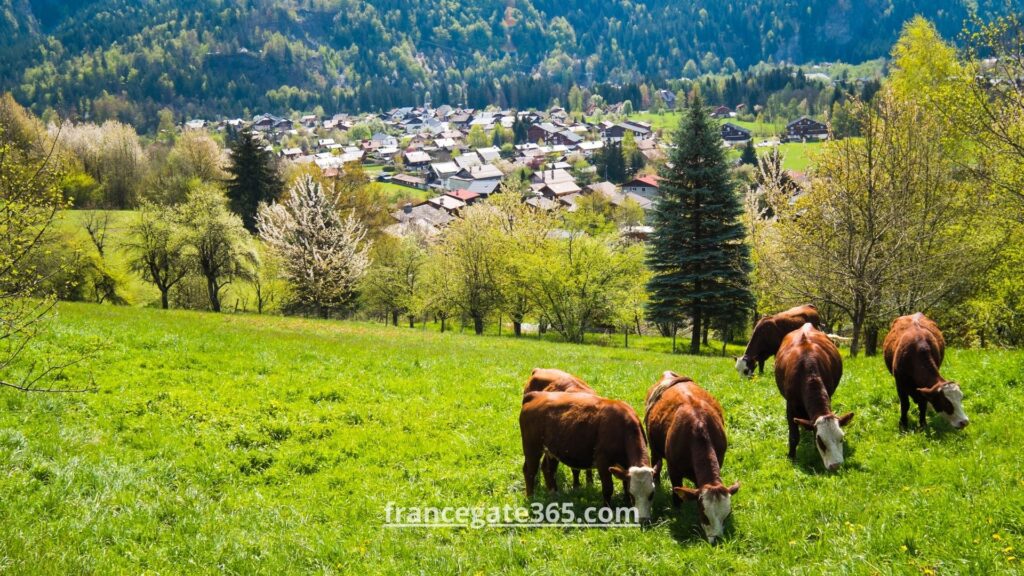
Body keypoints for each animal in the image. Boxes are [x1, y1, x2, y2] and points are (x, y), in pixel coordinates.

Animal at [520, 389, 655, 520]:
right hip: (531, 447)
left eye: (652, 494)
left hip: (551, 450)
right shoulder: (603, 461)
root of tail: (536, 395)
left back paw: (554, 495)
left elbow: (625, 483)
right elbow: (608, 488)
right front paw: (606, 511)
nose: (644, 520)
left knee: (548, 469)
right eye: (633, 495)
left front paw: (626, 504)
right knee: (530, 471)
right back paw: (531, 497)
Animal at [643, 368, 741, 541]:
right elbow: (677, 497)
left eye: (727, 515)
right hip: (654, 448)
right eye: (704, 516)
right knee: (656, 464)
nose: (717, 539)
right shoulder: (674, 470)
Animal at [774, 319, 856, 469]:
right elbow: (793, 436)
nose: (836, 465)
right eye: (821, 441)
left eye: (841, 438)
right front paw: (791, 456)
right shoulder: (790, 405)